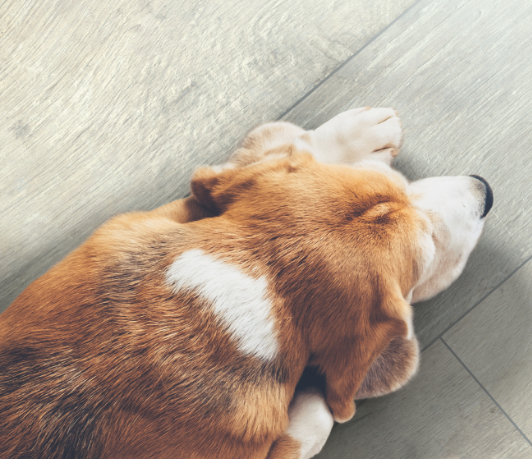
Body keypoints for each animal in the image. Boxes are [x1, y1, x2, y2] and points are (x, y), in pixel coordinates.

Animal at [0, 108, 492, 459]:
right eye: (429, 247)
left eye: (399, 183)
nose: (484, 190)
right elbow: (319, 423)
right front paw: (313, 394)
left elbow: (274, 156)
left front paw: (353, 137)